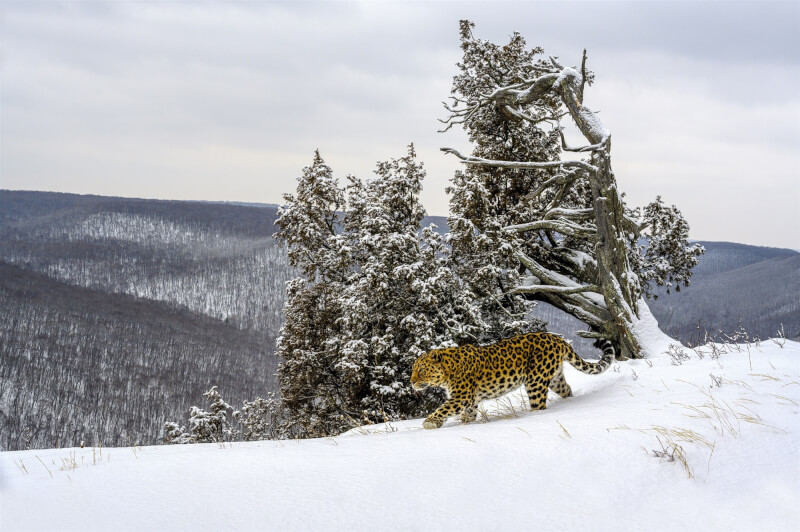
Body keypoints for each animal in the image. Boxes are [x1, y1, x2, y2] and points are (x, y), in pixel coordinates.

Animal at [410, 332, 616, 428]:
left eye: (421, 370)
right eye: (413, 370)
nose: (411, 382)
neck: (447, 371)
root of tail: (557, 339)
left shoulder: (462, 397)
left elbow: (443, 408)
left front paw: (429, 422)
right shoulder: (471, 401)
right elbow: (467, 416)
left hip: (535, 382)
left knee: (539, 405)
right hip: (555, 378)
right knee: (567, 389)